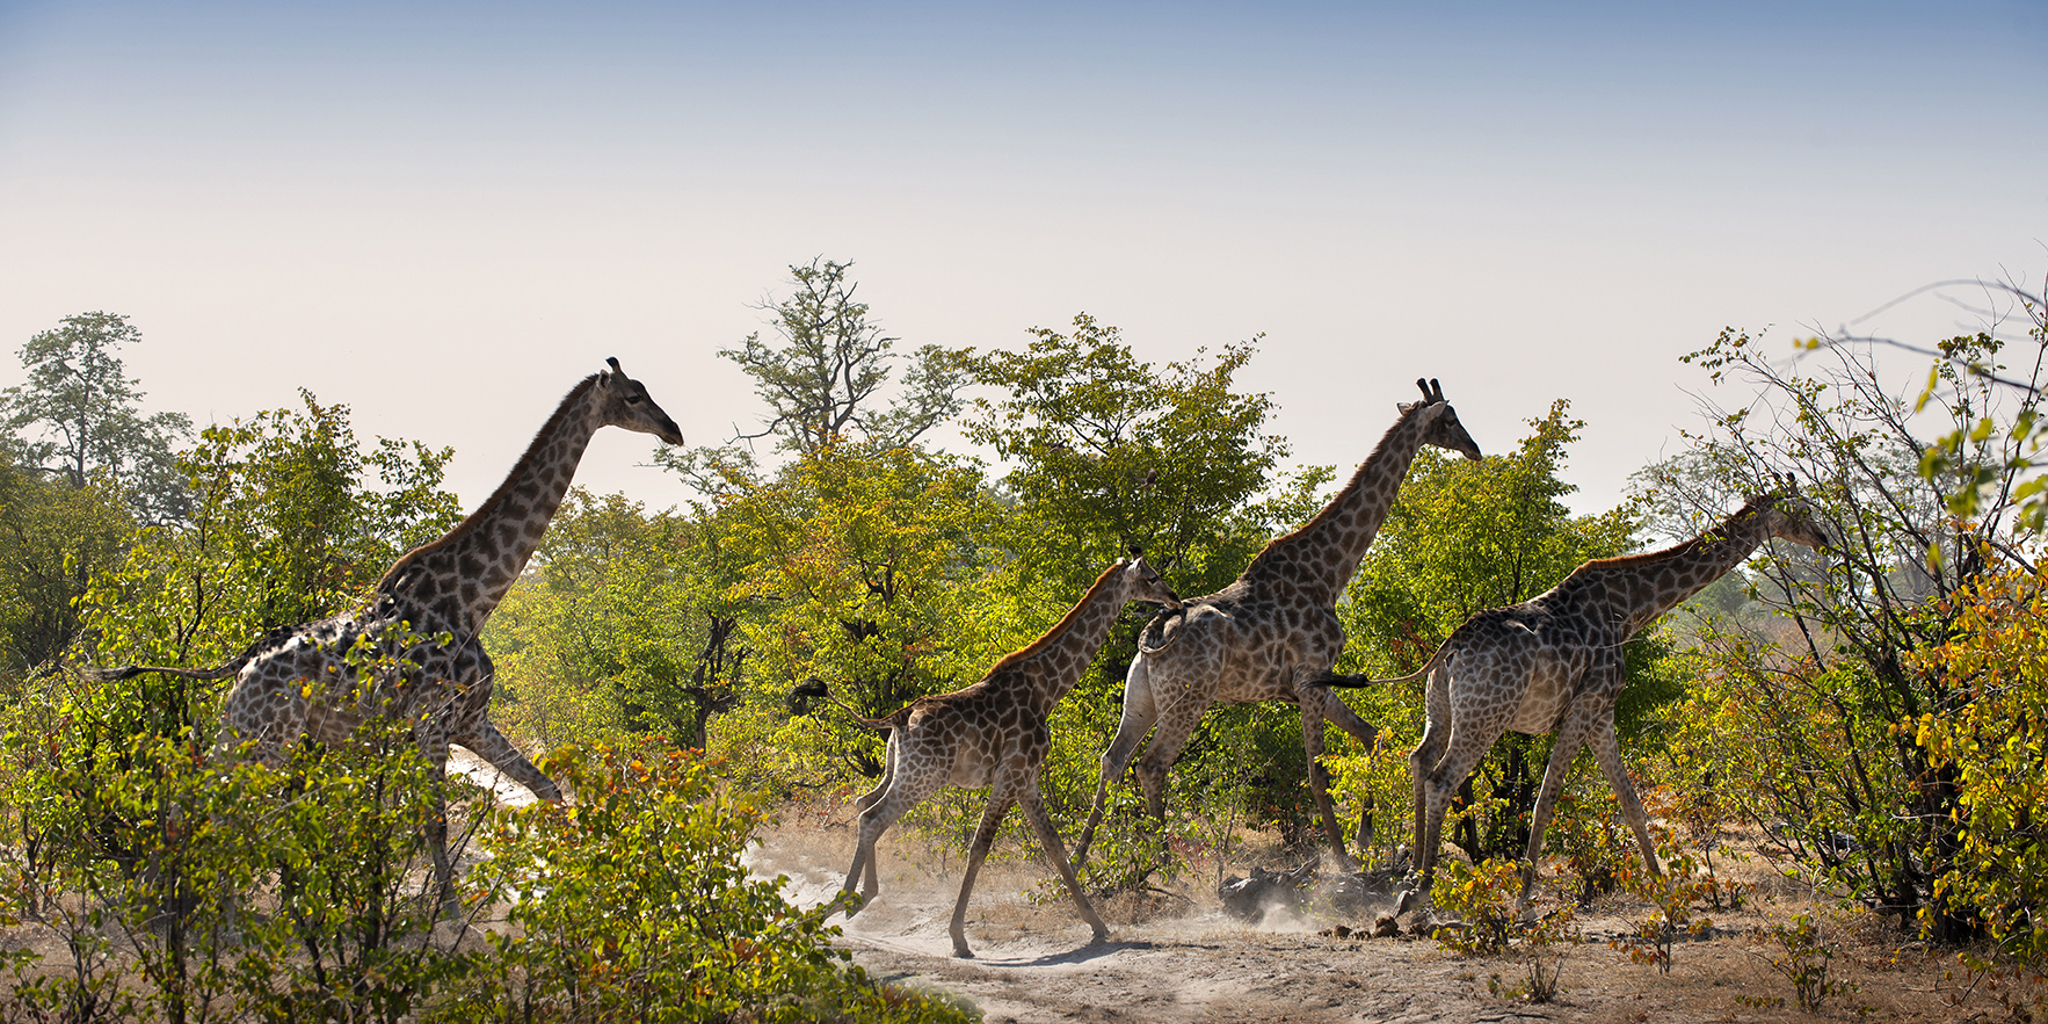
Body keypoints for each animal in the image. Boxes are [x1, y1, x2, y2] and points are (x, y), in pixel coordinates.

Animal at [90, 358, 683, 911]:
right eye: (634, 397)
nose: (674, 429)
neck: (475, 599)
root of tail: (243, 666)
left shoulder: (471, 721)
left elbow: (548, 790)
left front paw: (579, 888)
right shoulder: (431, 721)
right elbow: (434, 822)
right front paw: (448, 913)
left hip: (249, 736)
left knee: (199, 810)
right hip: (262, 738)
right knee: (209, 813)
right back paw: (171, 912)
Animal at [838, 557, 1183, 959]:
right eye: (1152, 577)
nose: (1174, 599)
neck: (1046, 689)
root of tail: (897, 719)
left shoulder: (1027, 779)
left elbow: (1055, 848)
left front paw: (1097, 924)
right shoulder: (1012, 773)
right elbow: (979, 847)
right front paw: (958, 938)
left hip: (897, 769)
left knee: (863, 802)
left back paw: (860, 897)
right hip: (923, 777)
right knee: (872, 817)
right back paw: (843, 901)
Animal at [1072, 379, 1483, 873]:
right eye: (1450, 418)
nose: (1475, 449)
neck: (1329, 572)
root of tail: (1152, 632)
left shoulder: (1311, 685)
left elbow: (1374, 739)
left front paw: (1364, 840)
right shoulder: (1310, 680)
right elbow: (1318, 772)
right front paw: (1343, 861)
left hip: (1142, 698)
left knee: (1112, 760)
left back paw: (1078, 860)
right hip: (1189, 700)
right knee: (1151, 765)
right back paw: (1166, 866)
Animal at [1320, 488, 1829, 914]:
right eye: (1803, 509)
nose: (1823, 538)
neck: (1632, 610)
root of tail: (1450, 647)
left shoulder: (1602, 714)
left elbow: (1631, 802)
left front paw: (1664, 892)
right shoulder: (1586, 707)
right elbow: (1546, 798)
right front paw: (1524, 899)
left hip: (1442, 708)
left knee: (1418, 758)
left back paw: (1408, 879)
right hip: (1486, 716)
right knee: (1443, 778)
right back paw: (1422, 890)